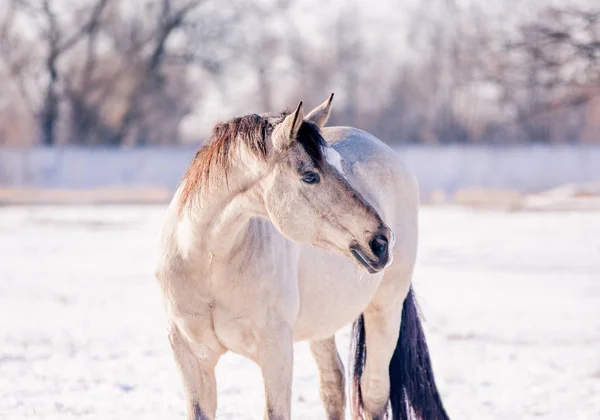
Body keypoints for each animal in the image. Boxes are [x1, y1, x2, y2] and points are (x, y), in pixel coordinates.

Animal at [155, 95, 450, 420]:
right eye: (310, 176)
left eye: (341, 167)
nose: (382, 241)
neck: (207, 263)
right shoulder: (191, 355)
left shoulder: (276, 352)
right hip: (322, 323)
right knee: (333, 383)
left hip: (385, 309)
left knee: (373, 391)